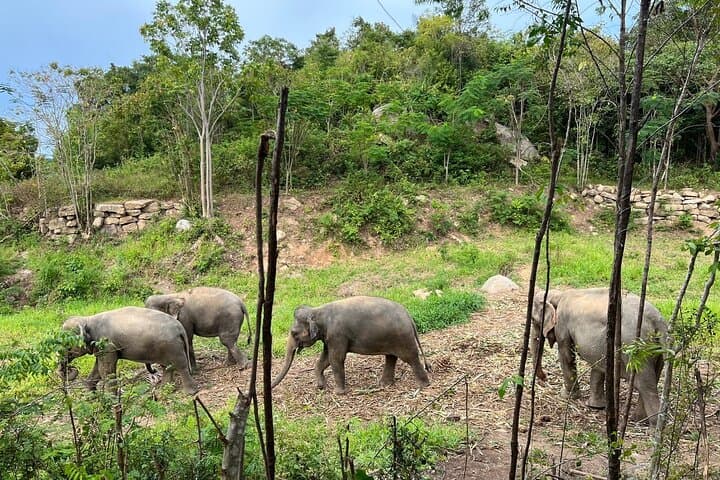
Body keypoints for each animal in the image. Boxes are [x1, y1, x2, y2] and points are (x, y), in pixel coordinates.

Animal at [58, 306, 198, 395]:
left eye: (67, 345)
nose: (71, 368)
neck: (87, 320)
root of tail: (180, 328)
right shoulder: (101, 348)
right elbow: (98, 369)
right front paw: (91, 396)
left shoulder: (107, 344)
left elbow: (105, 371)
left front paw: (111, 399)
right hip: (166, 347)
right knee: (168, 366)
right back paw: (165, 389)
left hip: (172, 347)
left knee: (180, 365)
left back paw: (191, 392)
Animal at [271, 296, 431, 394]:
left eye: (293, 333)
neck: (318, 311)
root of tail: (408, 316)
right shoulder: (329, 337)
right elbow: (325, 359)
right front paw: (322, 387)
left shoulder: (337, 335)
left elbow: (336, 359)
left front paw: (338, 393)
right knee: (391, 357)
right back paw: (384, 385)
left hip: (403, 338)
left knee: (411, 358)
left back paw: (424, 385)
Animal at [531, 287, 667, 424]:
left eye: (532, 319)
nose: (545, 377)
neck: (558, 294)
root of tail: (658, 321)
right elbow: (598, 365)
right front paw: (596, 406)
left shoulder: (562, 323)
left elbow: (566, 355)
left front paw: (565, 396)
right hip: (656, 350)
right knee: (652, 380)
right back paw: (639, 420)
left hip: (636, 349)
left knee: (645, 386)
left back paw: (651, 425)